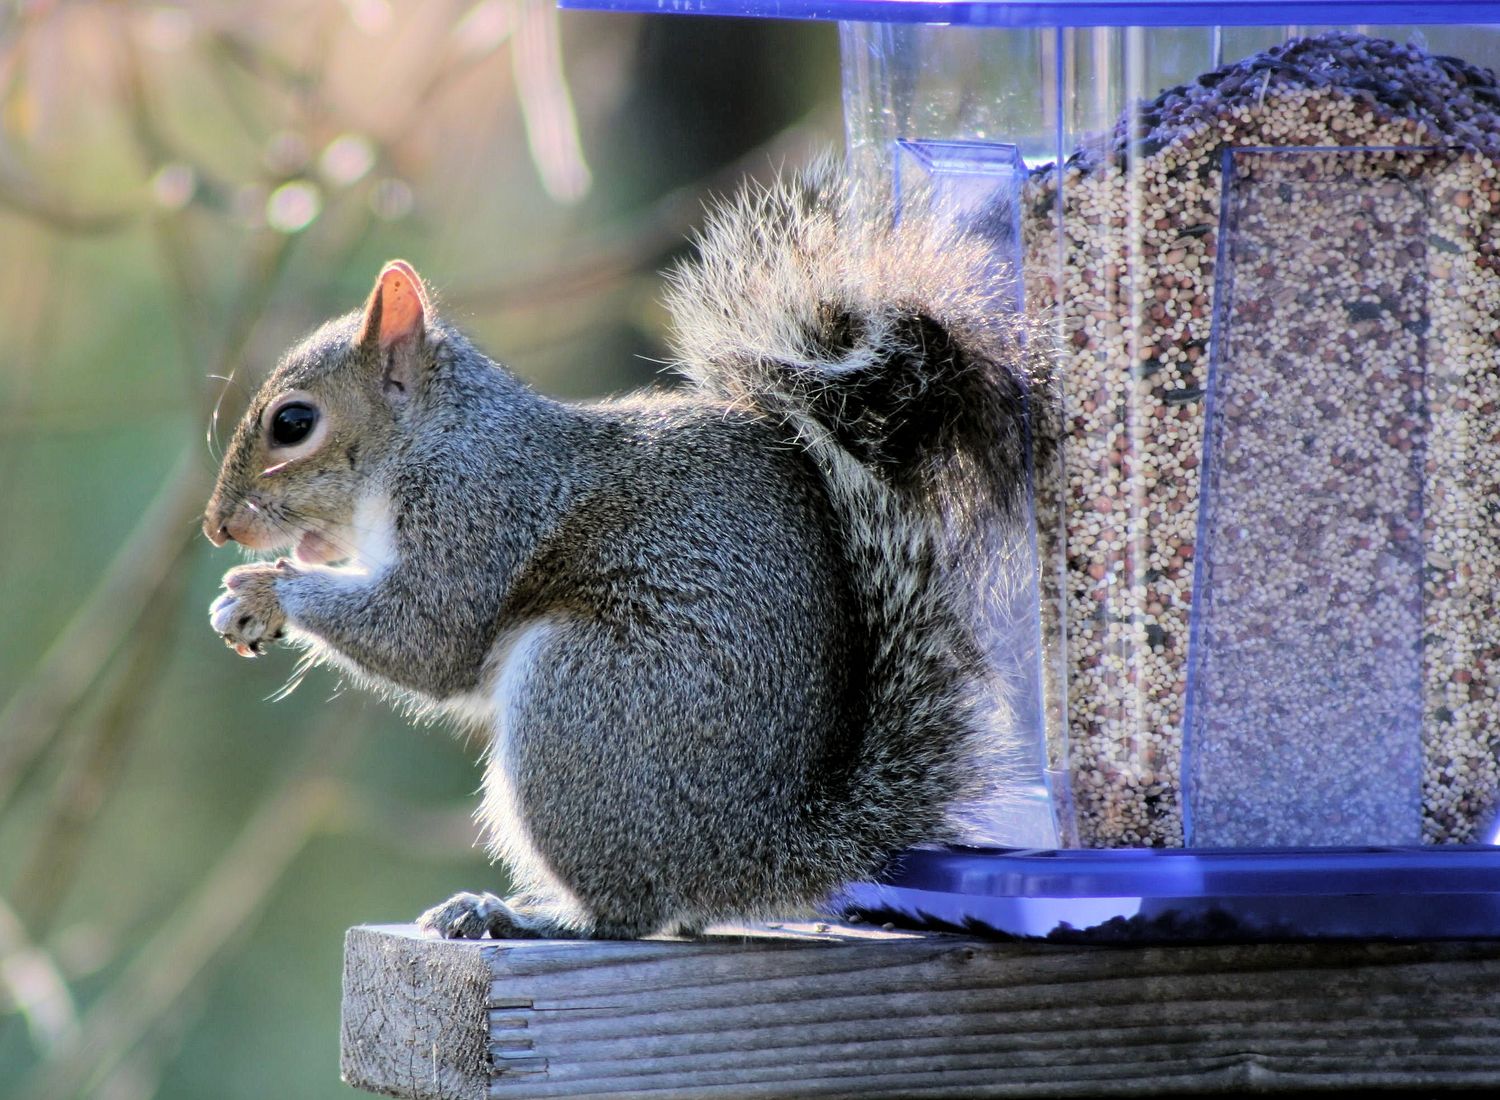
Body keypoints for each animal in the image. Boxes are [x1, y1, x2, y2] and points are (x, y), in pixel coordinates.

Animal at [203, 169, 1042, 939]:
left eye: (293, 423)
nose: (216, 527)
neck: (435, 438)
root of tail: (752, 851)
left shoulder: (477, 512)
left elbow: (426, 638)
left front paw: (263, 591)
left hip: (580, 700)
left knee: (629, 913)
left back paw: (524, 915)